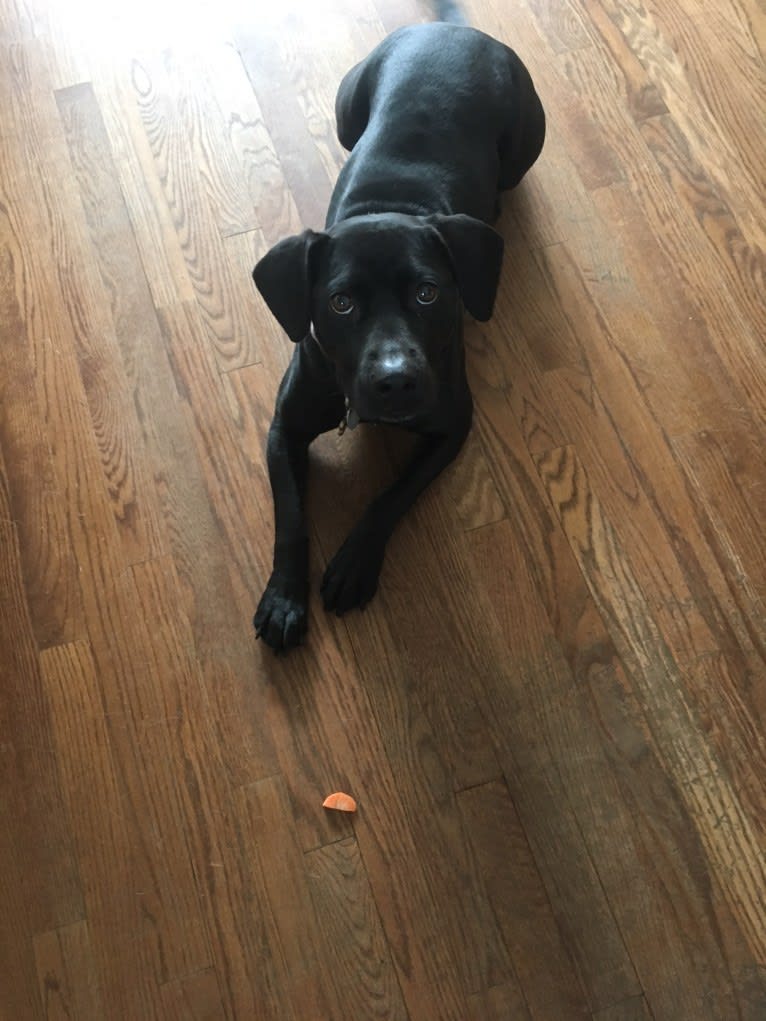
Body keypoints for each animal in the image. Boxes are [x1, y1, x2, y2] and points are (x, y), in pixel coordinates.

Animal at [252, 1, 547, 645]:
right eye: (340, 304)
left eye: (428, 293)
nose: (395, 381)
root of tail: (453, 31)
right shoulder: (284, 428)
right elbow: (290, 515)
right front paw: (284, 597)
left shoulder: (452, 425)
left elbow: (390, 496)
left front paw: (354, 564)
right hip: (346, 112)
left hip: (524, 145)